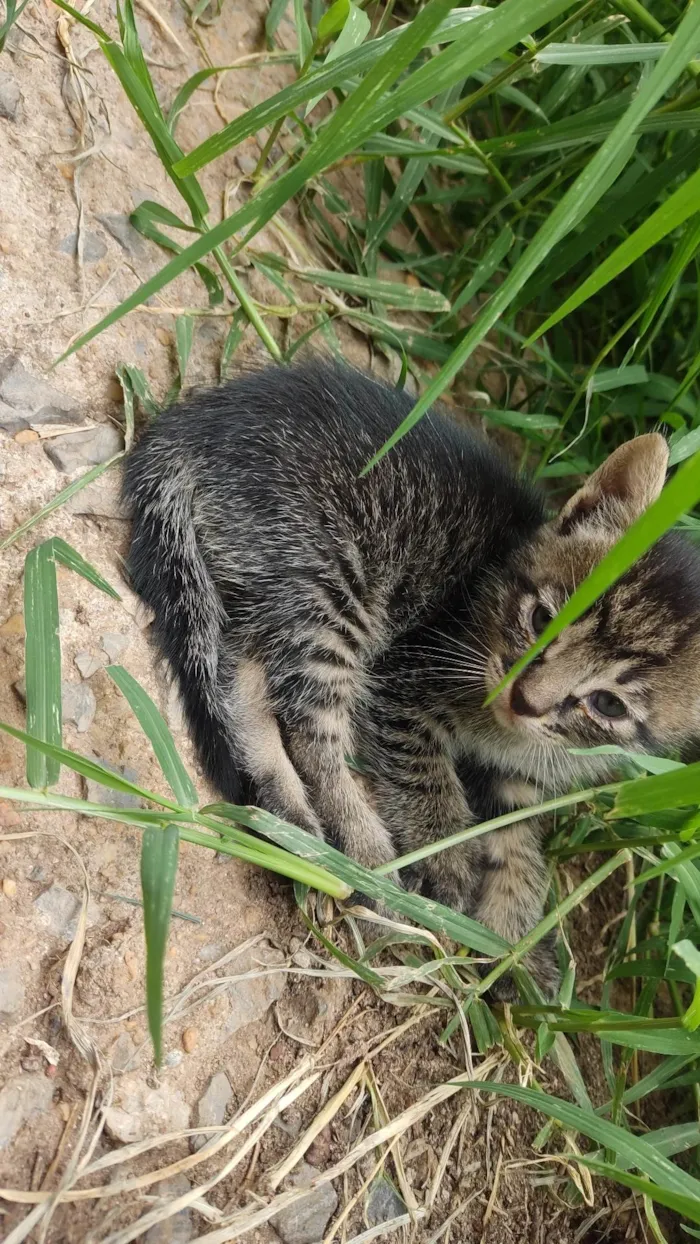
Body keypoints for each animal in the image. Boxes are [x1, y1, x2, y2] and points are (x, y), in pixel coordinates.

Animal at [123, 358, 700, 990]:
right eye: (543, 618)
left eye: (609, 705)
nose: (524, 699)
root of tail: (194, 427)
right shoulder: (406, 680)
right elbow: (429, 779)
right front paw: (446, 860)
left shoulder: (524, 777)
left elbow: (524, 843)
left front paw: (520, 944)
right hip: (338, 580)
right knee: (309, 723)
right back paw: (366, 857)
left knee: (239, 673)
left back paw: (290, 816)